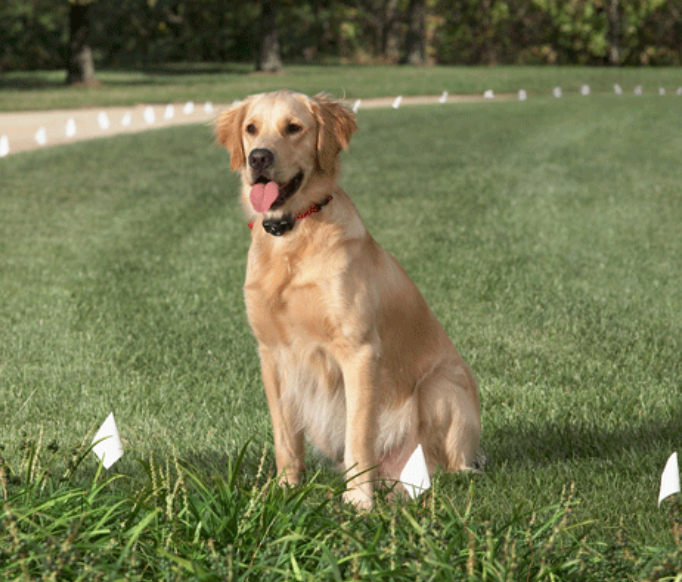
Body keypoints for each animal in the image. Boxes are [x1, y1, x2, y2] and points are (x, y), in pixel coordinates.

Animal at [216, 91, 478, 512]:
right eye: (251, 128)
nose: (258, 158)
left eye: (294, 127)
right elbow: (285, 438)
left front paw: (357, 501)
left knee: (453, 467)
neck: (293, 234)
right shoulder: (272, 354)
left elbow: (358, 434)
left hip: (440, 386)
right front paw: (285, 490)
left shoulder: (358, 351)